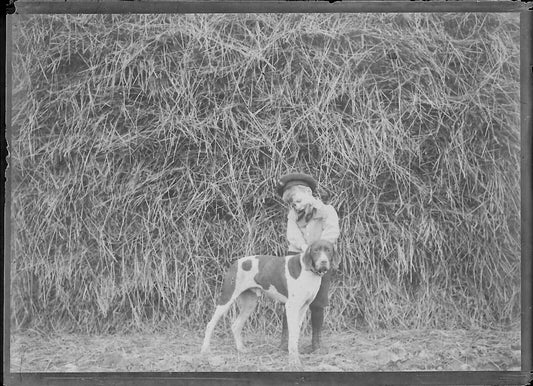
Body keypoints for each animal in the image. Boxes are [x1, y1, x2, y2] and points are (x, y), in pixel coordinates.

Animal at [200, 240, 336, 366]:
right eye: (316, 250)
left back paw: (241, 349)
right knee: (210, 324)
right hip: (227, 298)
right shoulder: (292, 306)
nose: (323, 262)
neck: (309, 272)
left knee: (236, 325)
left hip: (250, 304)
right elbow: (292, 332)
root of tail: (236, 262)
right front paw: (294, 360)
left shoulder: (303, 307)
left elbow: (296, 332)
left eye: (328, 250)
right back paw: (205, 350)